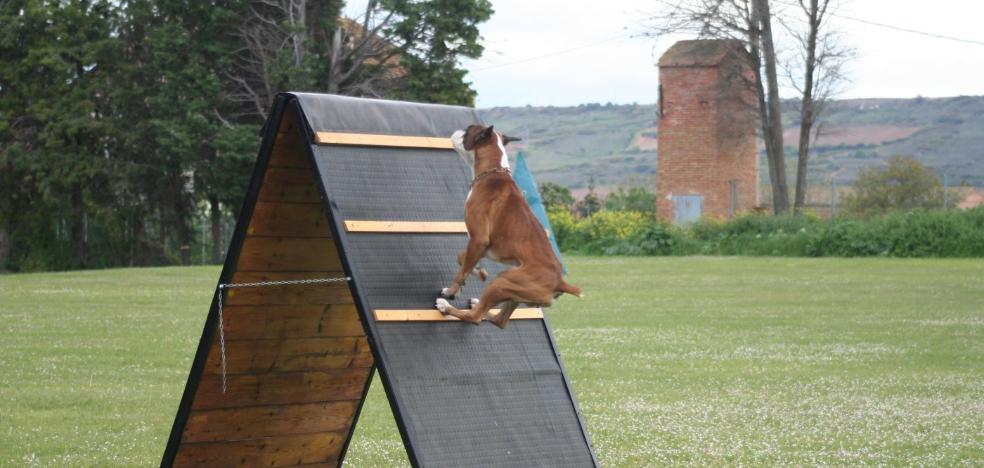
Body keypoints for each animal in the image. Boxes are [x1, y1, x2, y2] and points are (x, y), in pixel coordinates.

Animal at [434, 124, 580, 330]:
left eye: (467, 130)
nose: (458, 130)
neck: (494, 172)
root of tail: (560, 282)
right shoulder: (485, 247)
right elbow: (463, 258)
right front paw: (478, 271)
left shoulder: (479, 239)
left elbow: (462, 271)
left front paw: (451, 292)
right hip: (513, 291)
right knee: (499, 320)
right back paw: (477, 303)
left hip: (504, 280)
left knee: (476, 317)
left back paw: (446, 306)